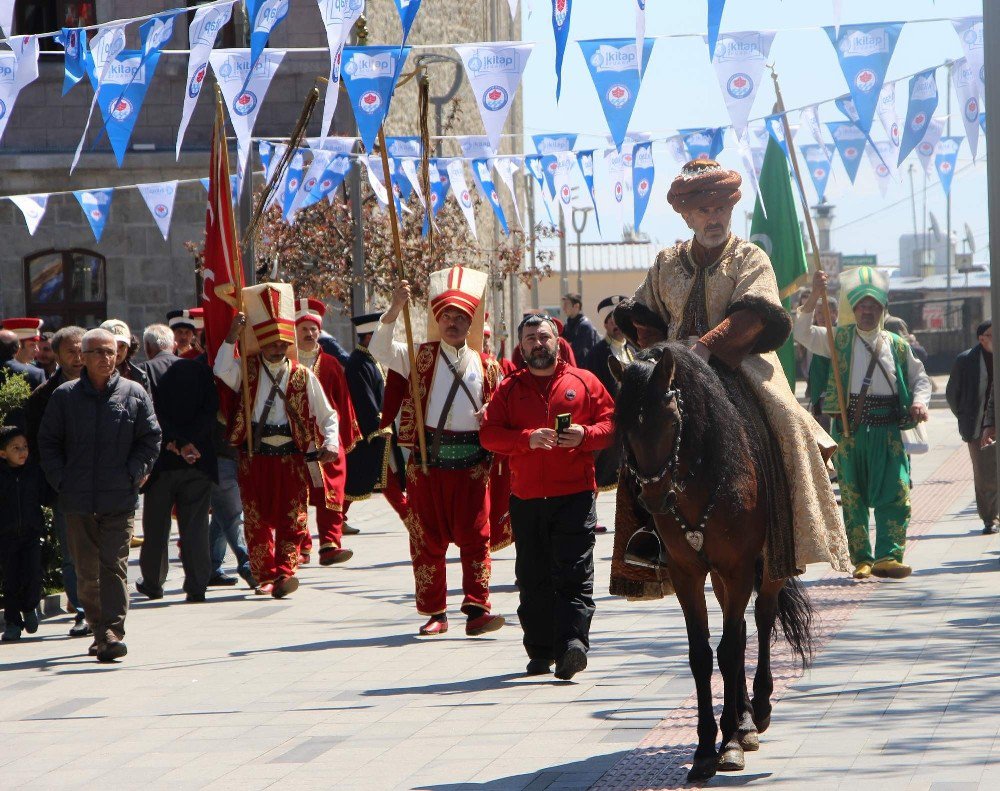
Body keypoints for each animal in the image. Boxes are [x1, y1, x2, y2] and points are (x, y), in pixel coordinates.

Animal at [608, 344, 812, 784]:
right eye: (623, 426)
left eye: (671, 420)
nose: (654, 500)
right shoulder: (687, 573)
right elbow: (702, 654)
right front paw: (704, 749)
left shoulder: (738, 568)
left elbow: (731, 649)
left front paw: (730, 742)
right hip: (718, 577)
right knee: (739, 630)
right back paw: (742, 719)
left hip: (765, 568)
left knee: (761, 620)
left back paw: (756, 713)